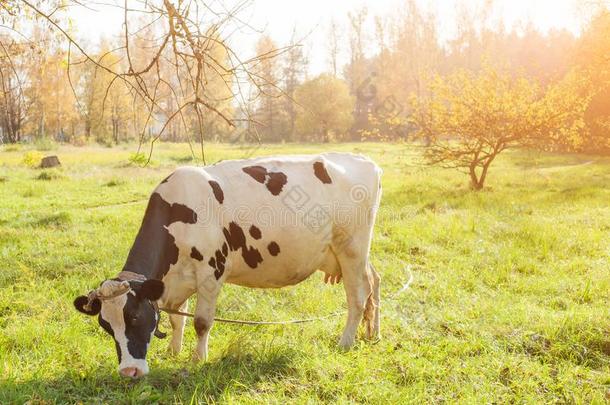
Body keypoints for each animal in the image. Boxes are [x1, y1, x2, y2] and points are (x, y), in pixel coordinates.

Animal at [72, 152, 380, 376]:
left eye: (134, 317)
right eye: (106, 325)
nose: (129, 372)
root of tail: (366, 161)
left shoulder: (211, 272)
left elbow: (201, 321)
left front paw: (198, 358)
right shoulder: (174, 282)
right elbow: (175, 317)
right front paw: (173, 350)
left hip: (351, 248)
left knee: (357, 297)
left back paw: (345, 342)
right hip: (353, 254)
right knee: (373, 282)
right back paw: (372, 334)